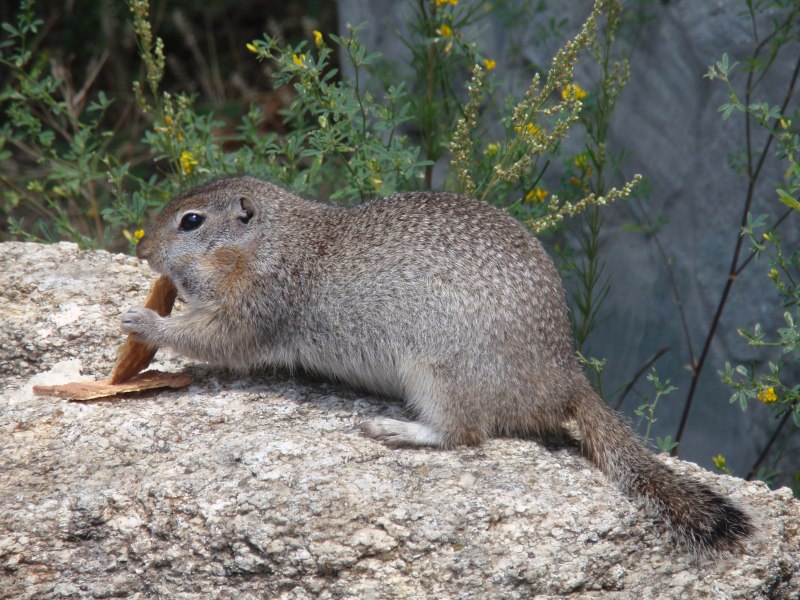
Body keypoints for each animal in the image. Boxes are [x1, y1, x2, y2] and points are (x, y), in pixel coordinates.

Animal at [122, 176, 752, 552]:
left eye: (191, 222)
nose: (142, 250)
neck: (273, 241)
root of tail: (564, 379)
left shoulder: (260, 303)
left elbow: (218, 337)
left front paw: (144, 322)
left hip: (438, 371)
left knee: (464, 432)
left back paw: (397, 428)